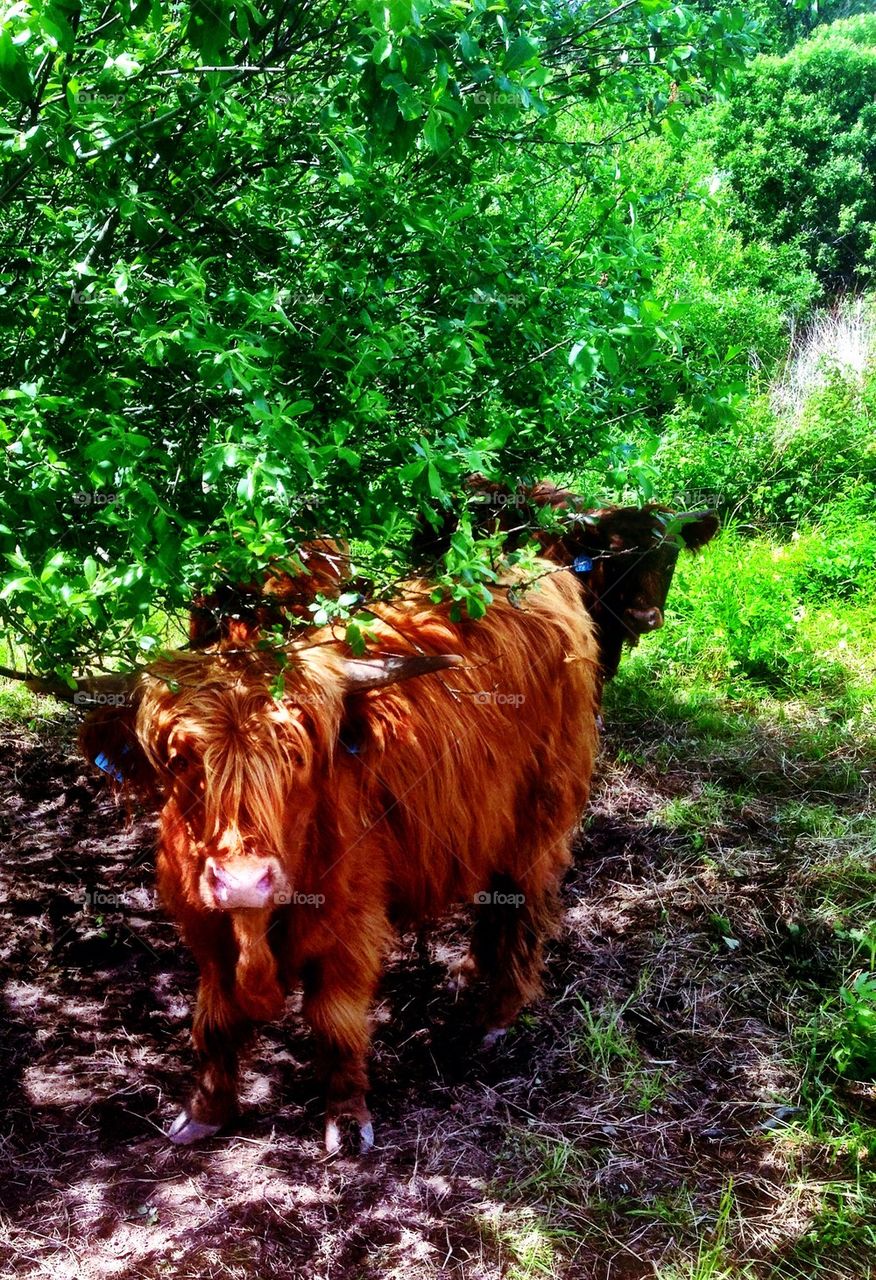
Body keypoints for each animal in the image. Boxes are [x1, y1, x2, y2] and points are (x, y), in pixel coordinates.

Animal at [79, 562, 601, 1152]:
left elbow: (334, 1020)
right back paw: (470, 973)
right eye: (180, 759)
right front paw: (205, 1112)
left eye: (295, 755)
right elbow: (216, 1019)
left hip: (539, 817)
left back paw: (495, 1015)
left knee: (523, 905)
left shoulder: (349, 924)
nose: (243, 882)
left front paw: (348, 1121)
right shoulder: (203, 924)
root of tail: (537, 570)